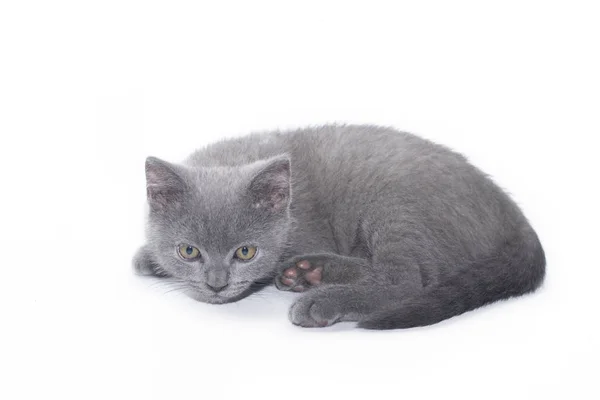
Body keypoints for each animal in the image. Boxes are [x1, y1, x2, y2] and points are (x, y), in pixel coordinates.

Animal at [134, 124, 548, 328]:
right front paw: (148, 257)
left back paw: (321, 297)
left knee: (408, 280)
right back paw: (310, 272)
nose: (216, 285)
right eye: (189, 251)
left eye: (245, 252)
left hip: (394, 203)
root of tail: (511, 210)